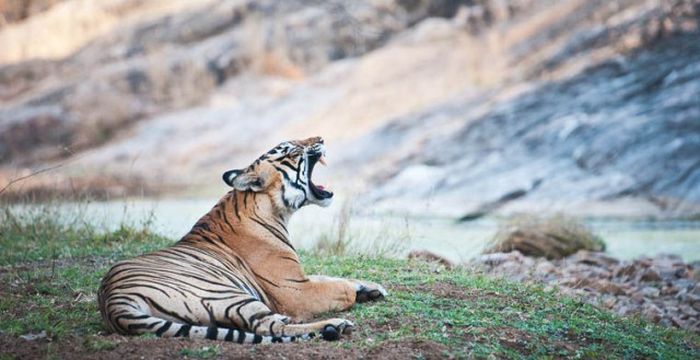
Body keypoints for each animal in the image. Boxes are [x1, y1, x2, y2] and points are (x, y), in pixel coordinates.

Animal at [97, 136, 388, 344]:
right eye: (291, 150)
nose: (322, 138)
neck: (275, 210)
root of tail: (112, 301)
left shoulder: (300, 277)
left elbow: (329, 276)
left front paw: (371, 287)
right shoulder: (294, 289)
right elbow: (338, 288)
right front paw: (356, 291)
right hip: (229, 295)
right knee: (272, 326)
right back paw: (335, 326)